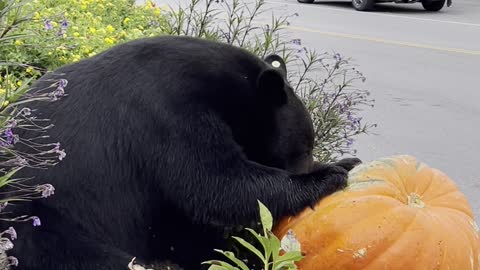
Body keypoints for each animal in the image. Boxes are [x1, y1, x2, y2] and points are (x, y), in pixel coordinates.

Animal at [4, 36, 360, 270]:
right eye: (304, 147)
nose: (308, 163)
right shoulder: (166, 112)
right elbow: (215, 182)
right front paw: (328, 176)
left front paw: (347, 161)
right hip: (40, 216)